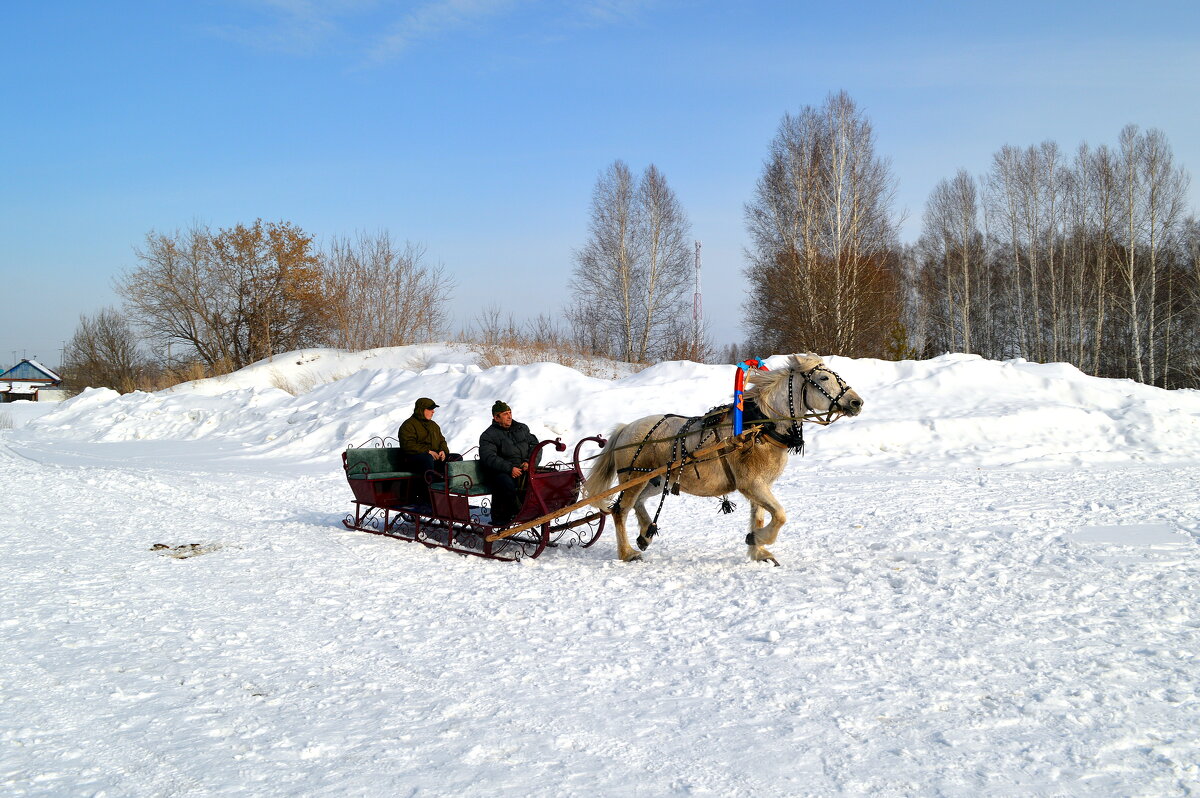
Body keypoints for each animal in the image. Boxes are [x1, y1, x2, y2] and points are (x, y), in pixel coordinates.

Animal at [580, 352, 864, 564]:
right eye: (823, 377)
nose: (856, 402)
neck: (758, 425)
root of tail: (626, 427)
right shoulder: (751, 484)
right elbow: (781, 515)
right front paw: (758, 540)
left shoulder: (760, 485)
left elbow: (760, 516)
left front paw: (758, 550)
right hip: (635, 478)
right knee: (620, 510)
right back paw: (627, 552)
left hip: (655, 480)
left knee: (637, 504)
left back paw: (645, 534)